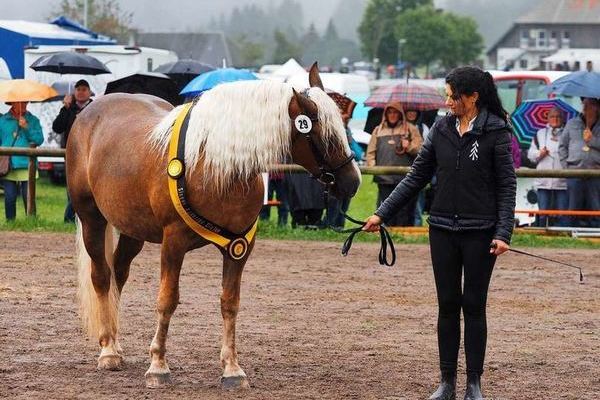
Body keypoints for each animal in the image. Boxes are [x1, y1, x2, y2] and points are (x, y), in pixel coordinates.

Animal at [69, 64, 360, 390]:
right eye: (323, 133)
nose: (353, 181)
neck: (214, 166)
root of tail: (90, 112)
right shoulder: (173, 243)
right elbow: (167, 300)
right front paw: (158, 365)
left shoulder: (239, 247)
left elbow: (229, 303)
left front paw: (232, 369)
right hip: (92, 218)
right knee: (101, 277)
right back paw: (108, 350)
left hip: (133, 229)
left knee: (118, 274)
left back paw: (117, 344)